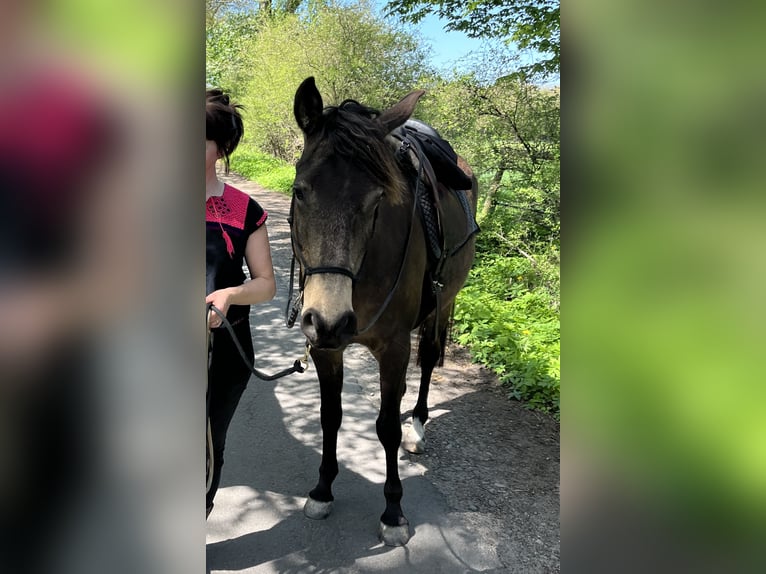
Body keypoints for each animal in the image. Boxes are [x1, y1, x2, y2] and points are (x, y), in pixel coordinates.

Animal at [290, 77, 478, 546]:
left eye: (377, 201)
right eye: (300, 192)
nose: (330, 319)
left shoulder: (393, 349)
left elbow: (387, 425)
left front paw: (393, 511)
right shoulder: (326, 348)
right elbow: (330, 416)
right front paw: (322, 489)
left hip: (443, 304)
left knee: (427, 361)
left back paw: (418, 427)